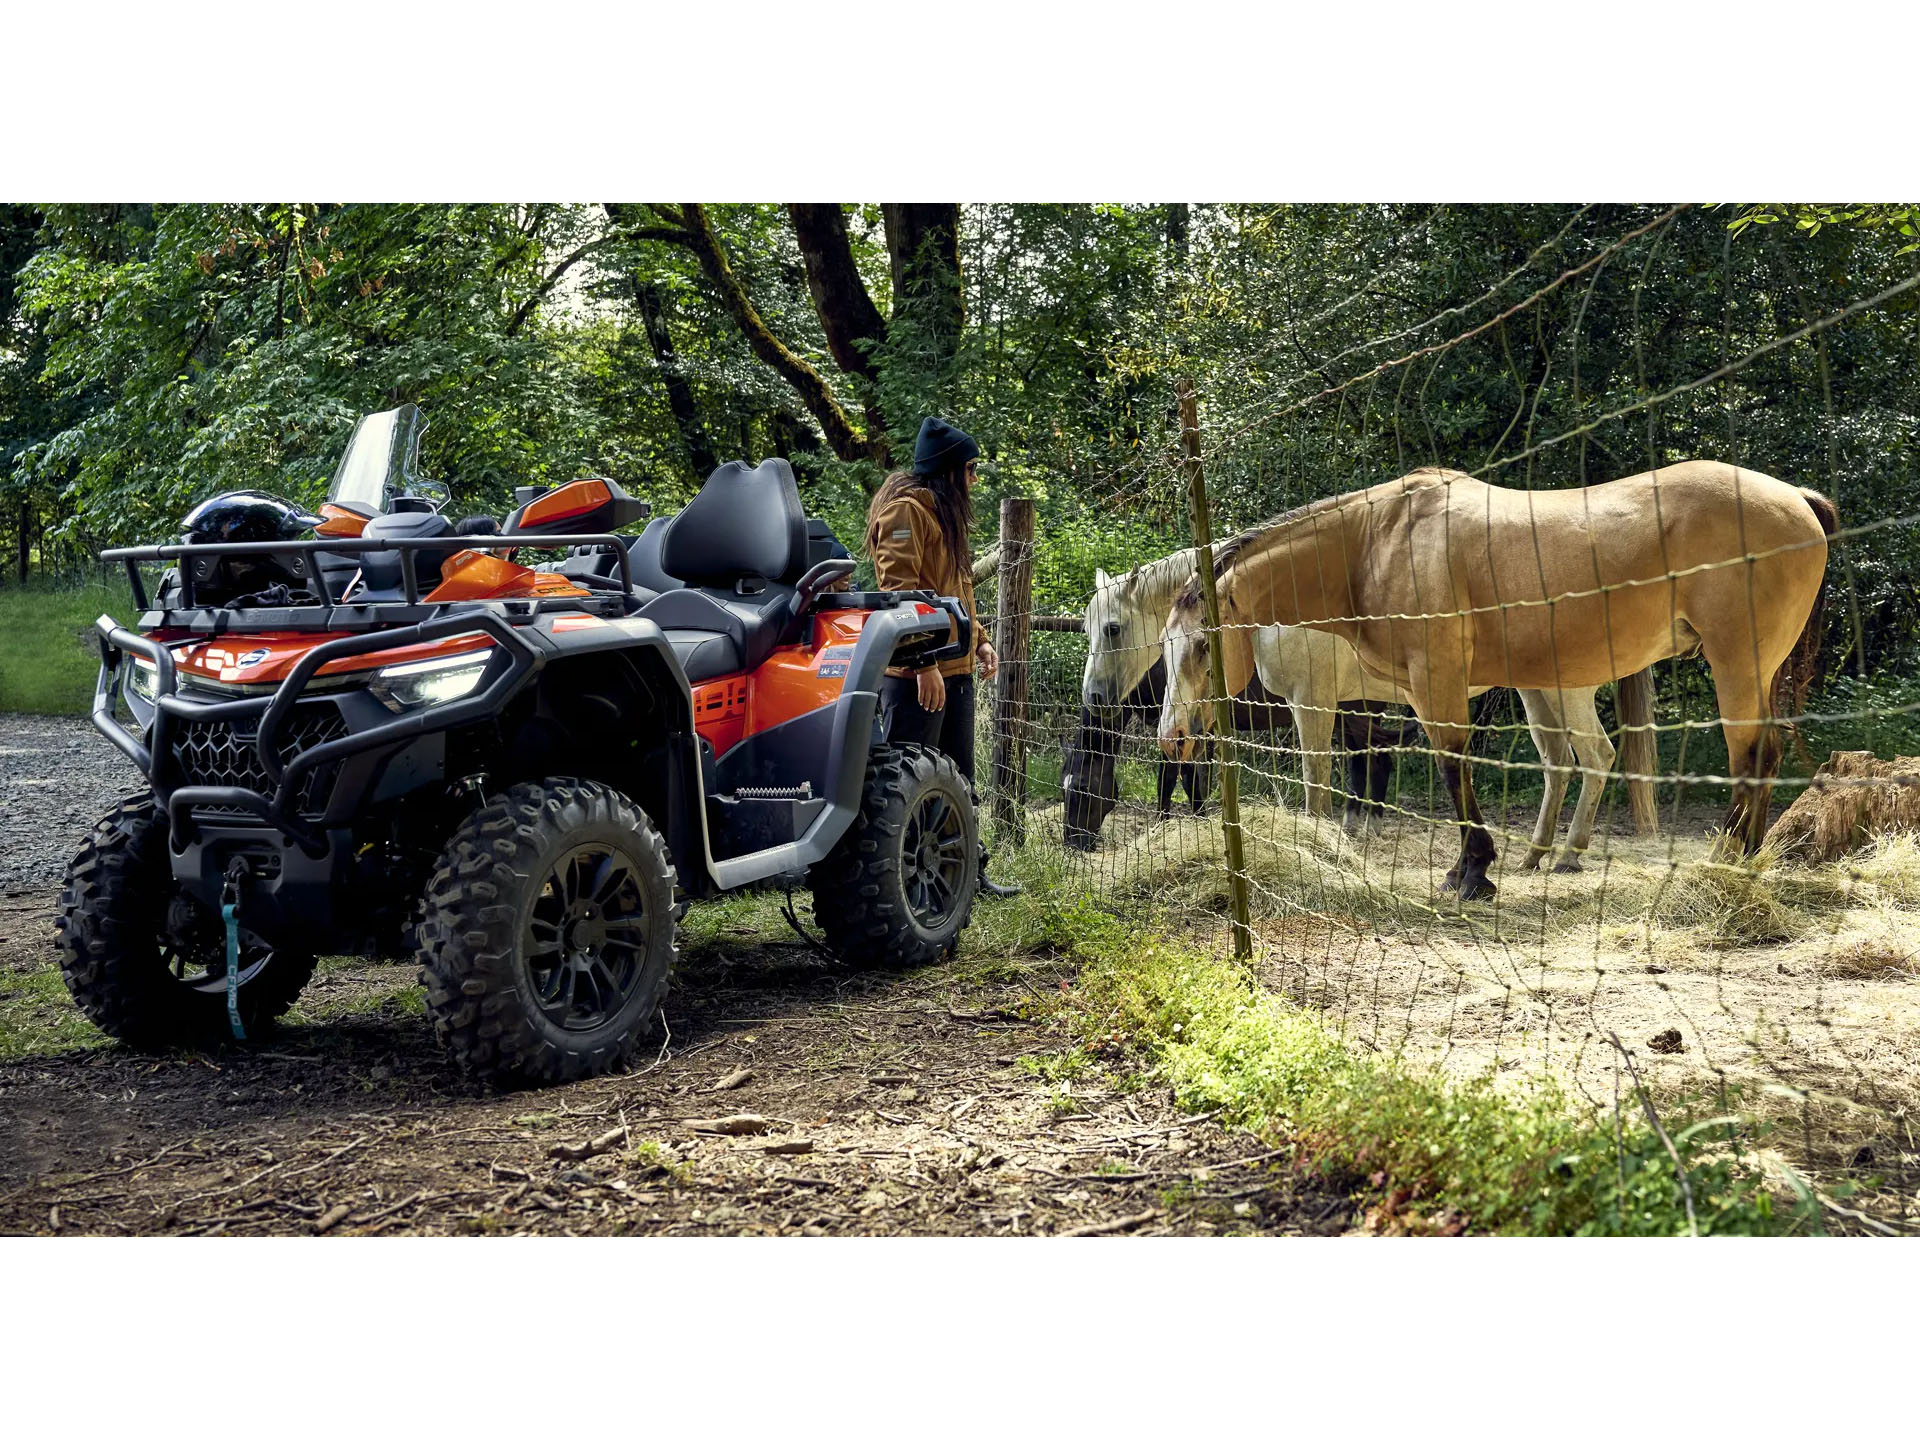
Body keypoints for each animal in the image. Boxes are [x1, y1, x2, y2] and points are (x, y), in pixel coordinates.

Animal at [1098, 549, 1620, 867]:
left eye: (1112, 628)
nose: (1094, 697)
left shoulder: (1314, 705)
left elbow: (1316, 788)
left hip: (1565, 694)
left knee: (1598, 758)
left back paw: (1569, 855)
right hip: (1537, 694)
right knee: (1558, 765)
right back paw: (1535, 856)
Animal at [1159, 464, 1835, 902]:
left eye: (1202, 646)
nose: (1174, 738)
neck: (1375, 544)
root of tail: (1797, 498)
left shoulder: (1429, 684)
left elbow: (1450, 766)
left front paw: (1472, 872)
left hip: (1733, 664)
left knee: (1747, 754)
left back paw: (1724, 860)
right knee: (1757, 754)